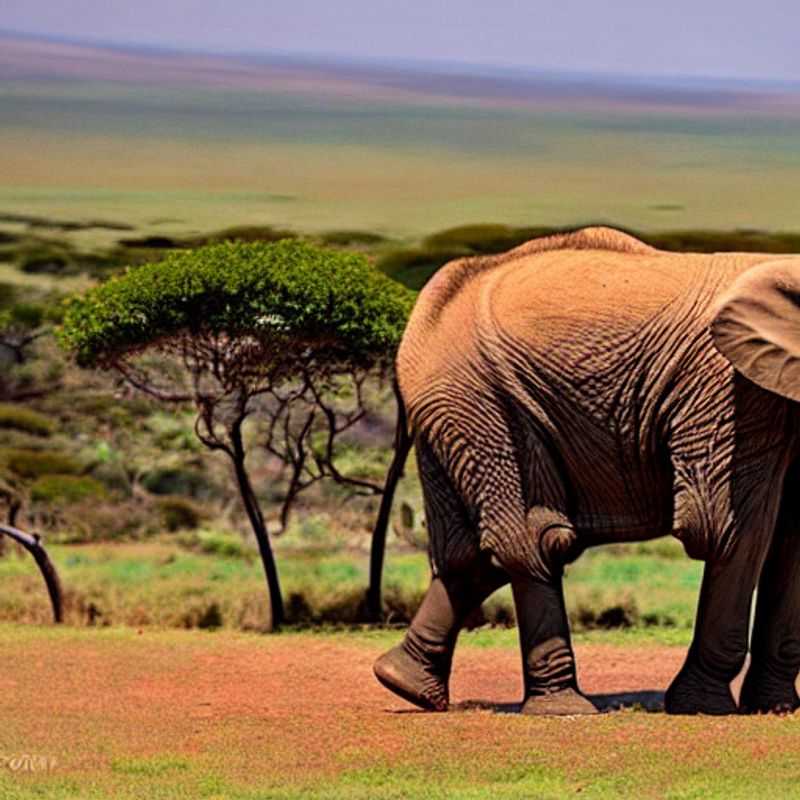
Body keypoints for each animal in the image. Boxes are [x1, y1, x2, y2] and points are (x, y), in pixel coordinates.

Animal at [373, 225, 800, 716]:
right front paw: (702, 708)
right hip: (480, 403)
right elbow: (728, 530)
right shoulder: (732, 389)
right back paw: (563, 707)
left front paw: (777, 708)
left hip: (449, 416)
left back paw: (404, 684)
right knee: (533, 541)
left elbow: (791, 536)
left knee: (467, 555)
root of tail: (429, 307)